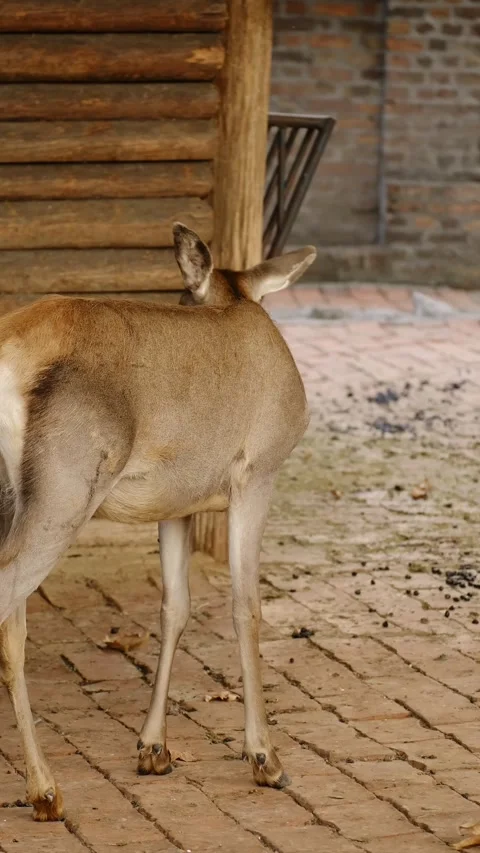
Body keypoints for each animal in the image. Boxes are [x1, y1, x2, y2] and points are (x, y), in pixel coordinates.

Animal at [0, 223, 315, 821]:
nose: (154, 750)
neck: (233, 298)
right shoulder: (257, 471)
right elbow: (246, 607)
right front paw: (266, 758)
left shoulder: (177, 504)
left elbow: (174, 607)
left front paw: (153, 749)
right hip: (66, 480)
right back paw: (44, 789)